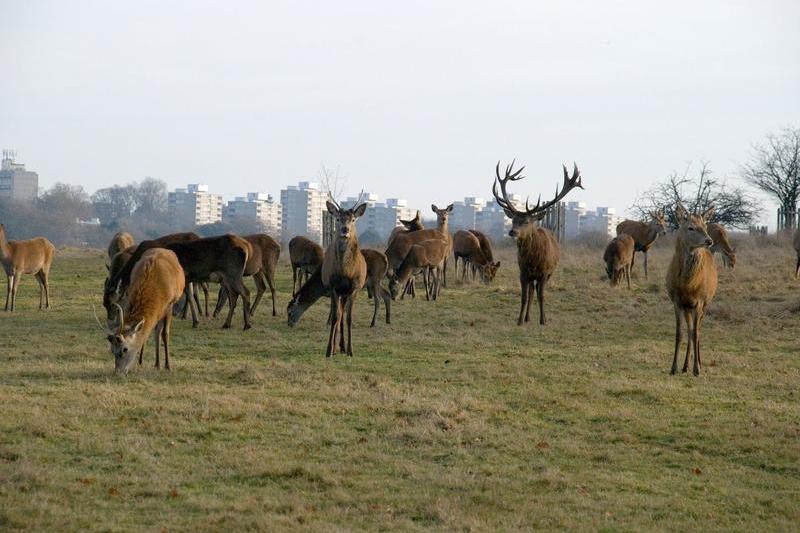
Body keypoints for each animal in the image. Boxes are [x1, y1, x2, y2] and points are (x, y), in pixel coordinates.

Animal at [320, 196, 368, 358]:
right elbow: (336, 317)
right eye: (338, 218)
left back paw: (341, 346)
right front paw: (329, 350)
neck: (346, 272)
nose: (345, 230)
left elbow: (349, 318)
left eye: (353, 219)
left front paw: (350, 350)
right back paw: (336, 347)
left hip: (345, 293)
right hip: (338, 291)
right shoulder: (333, 286)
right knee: (338, 313)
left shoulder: (355, 287)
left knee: (343, 314)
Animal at [490, 159, 584, 324]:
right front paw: (519, 321)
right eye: (513, 220)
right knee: (532, 291)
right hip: (531, 276)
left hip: (549, 273)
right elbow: (524, 296)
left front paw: (543, 320)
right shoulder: (522, 272)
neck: (532, 259)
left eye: (527, 221)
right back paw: (527, 318)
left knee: (537, 291)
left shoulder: (544, 273)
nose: (512, 231)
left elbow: (542, 296)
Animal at [664, 203, 716, 374]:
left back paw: (697, 364)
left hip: (707, 303)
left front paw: (697, 369)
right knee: (690, 330)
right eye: (691, 227)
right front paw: (673, 367)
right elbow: (679, 333)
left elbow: (696, 333)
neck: (687, 285)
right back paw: (685, 365)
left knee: (697, 330)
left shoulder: (699, 301)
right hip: (688, 307)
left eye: (705, 225)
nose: (709, 240)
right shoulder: (677, 301)